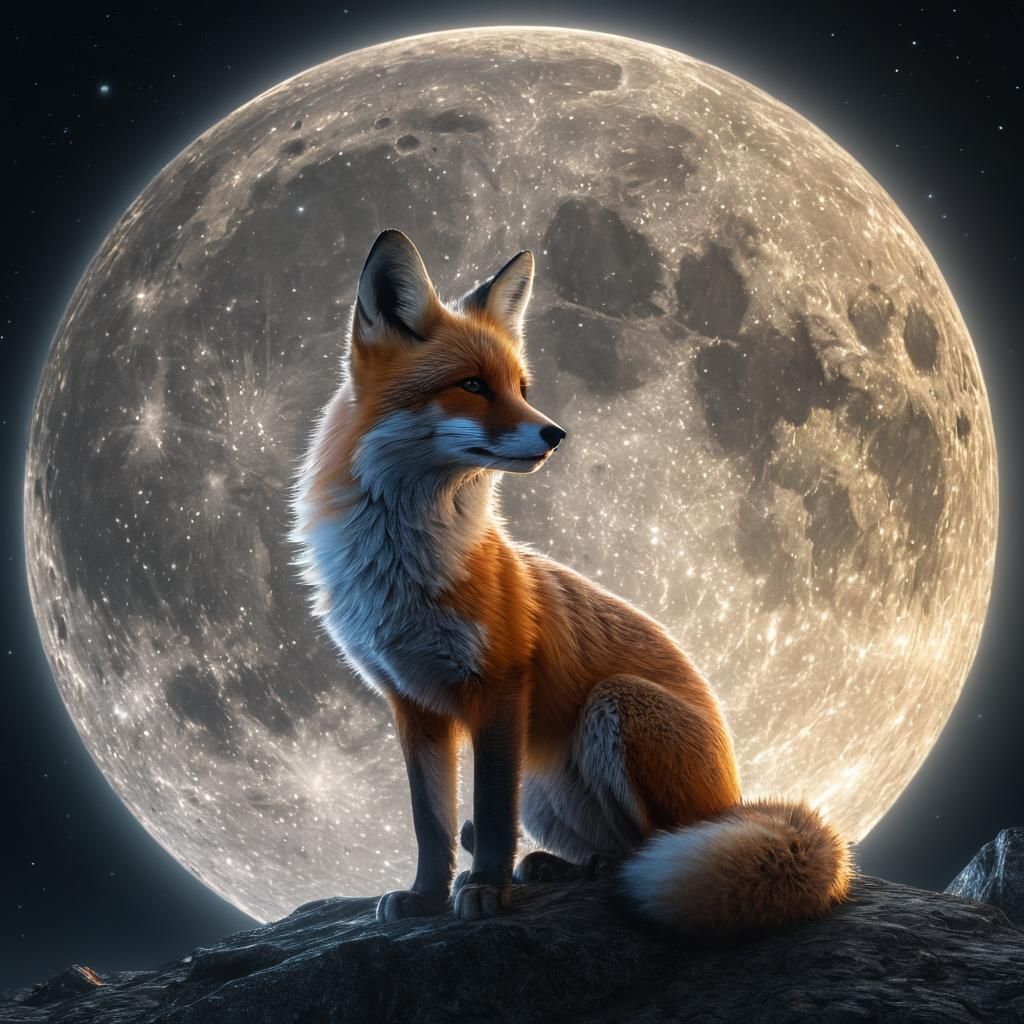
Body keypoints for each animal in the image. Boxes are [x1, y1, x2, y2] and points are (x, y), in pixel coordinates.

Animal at [289, 228, 853, 936]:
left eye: (521, 386)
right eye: (471, 385)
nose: (555, 434)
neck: (403, 571)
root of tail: (737, 798)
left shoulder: (500, 687)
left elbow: (489, 819)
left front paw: (485, 889)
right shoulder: (414, 705)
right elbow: (431, 825)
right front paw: (425, 896)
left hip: (613, 707)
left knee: (656, 847)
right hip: (543, 783)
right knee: (608, 847)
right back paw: (560, 867)